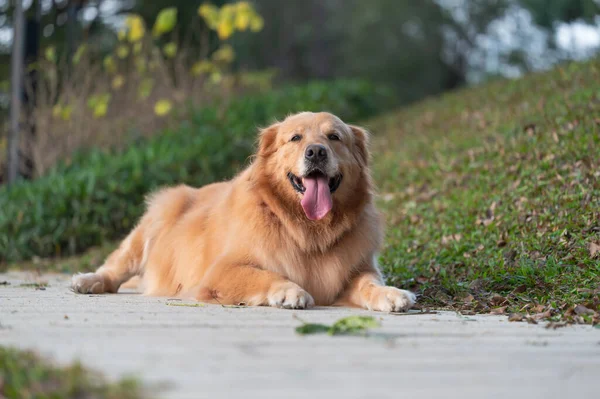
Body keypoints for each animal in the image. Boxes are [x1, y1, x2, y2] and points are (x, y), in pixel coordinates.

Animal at [70, 112, 414, 312]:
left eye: (334, 137)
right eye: (295, 137)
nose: (316, 152)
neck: (306, 228)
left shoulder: (357, 269)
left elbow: (370, 283)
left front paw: (391, 293)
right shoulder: (221, 272)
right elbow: (265, 274)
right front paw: (289, 291)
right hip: (153, 222)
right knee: (115, 267)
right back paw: (87, 281)